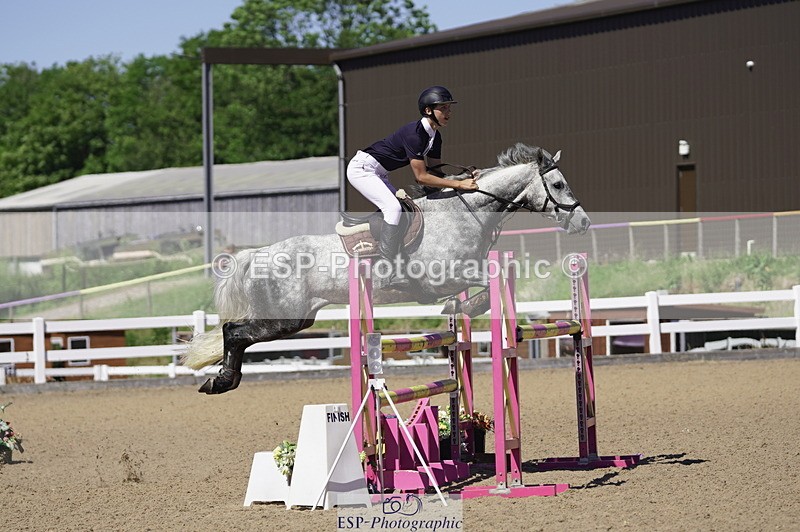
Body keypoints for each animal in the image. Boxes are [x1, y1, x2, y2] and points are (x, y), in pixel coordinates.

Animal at [181, 143, 591, 394]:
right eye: (557, 184)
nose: (583, 223)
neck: (466, 212)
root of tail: (257, 254)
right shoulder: (443, 277)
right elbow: (488, 282)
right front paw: (463, 306)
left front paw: (461, 309)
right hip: (284, 318)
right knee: (234, 331)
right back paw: (222, 381)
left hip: (298, 319)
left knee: (235, 333)